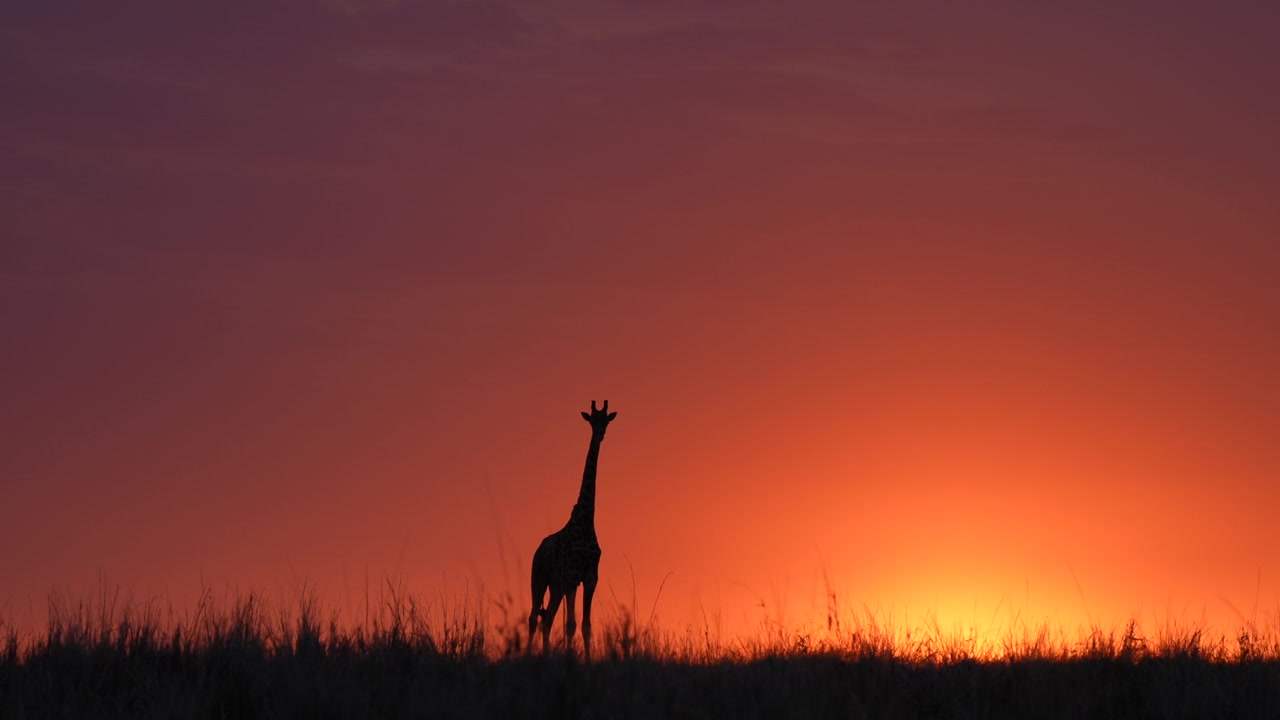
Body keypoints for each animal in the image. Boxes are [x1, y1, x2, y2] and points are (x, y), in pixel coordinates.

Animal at [528, 399, 617, 658]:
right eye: (592, 421)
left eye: (606, 420)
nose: (600, 434)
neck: (586, 521)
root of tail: (537, 550)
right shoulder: (571, 577)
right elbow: (570, 624)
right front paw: (571, 659)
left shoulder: (590, 577)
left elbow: (585, 625)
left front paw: (585, 661)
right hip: (539, 577)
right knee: (533, 618)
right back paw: (526, 654)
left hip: (555, 586)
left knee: (547, 618)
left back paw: (546, 656)